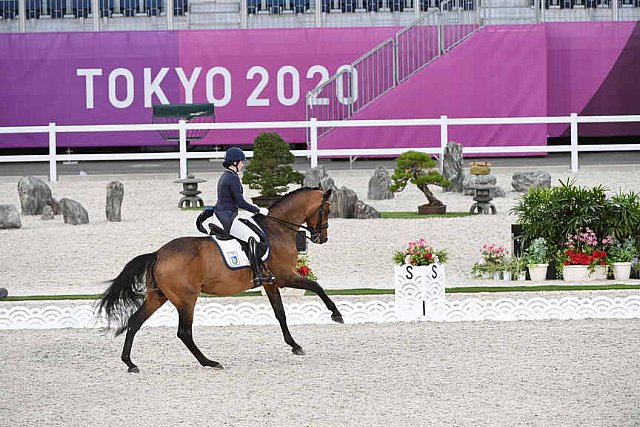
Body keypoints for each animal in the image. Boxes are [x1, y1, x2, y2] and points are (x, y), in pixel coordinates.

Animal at [95, 187, 340, 372]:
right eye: (327, 208)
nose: (322, 238)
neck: (277, 229)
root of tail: (157, 254)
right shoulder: (284, 277)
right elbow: (316, 286)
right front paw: (336, 315)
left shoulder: (270, 282)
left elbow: (280, 314)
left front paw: (295, 345)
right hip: (186, 299)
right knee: (184, 332)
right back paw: (209, 362)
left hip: (158, 296)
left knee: (135, 322)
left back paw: (130, 363)